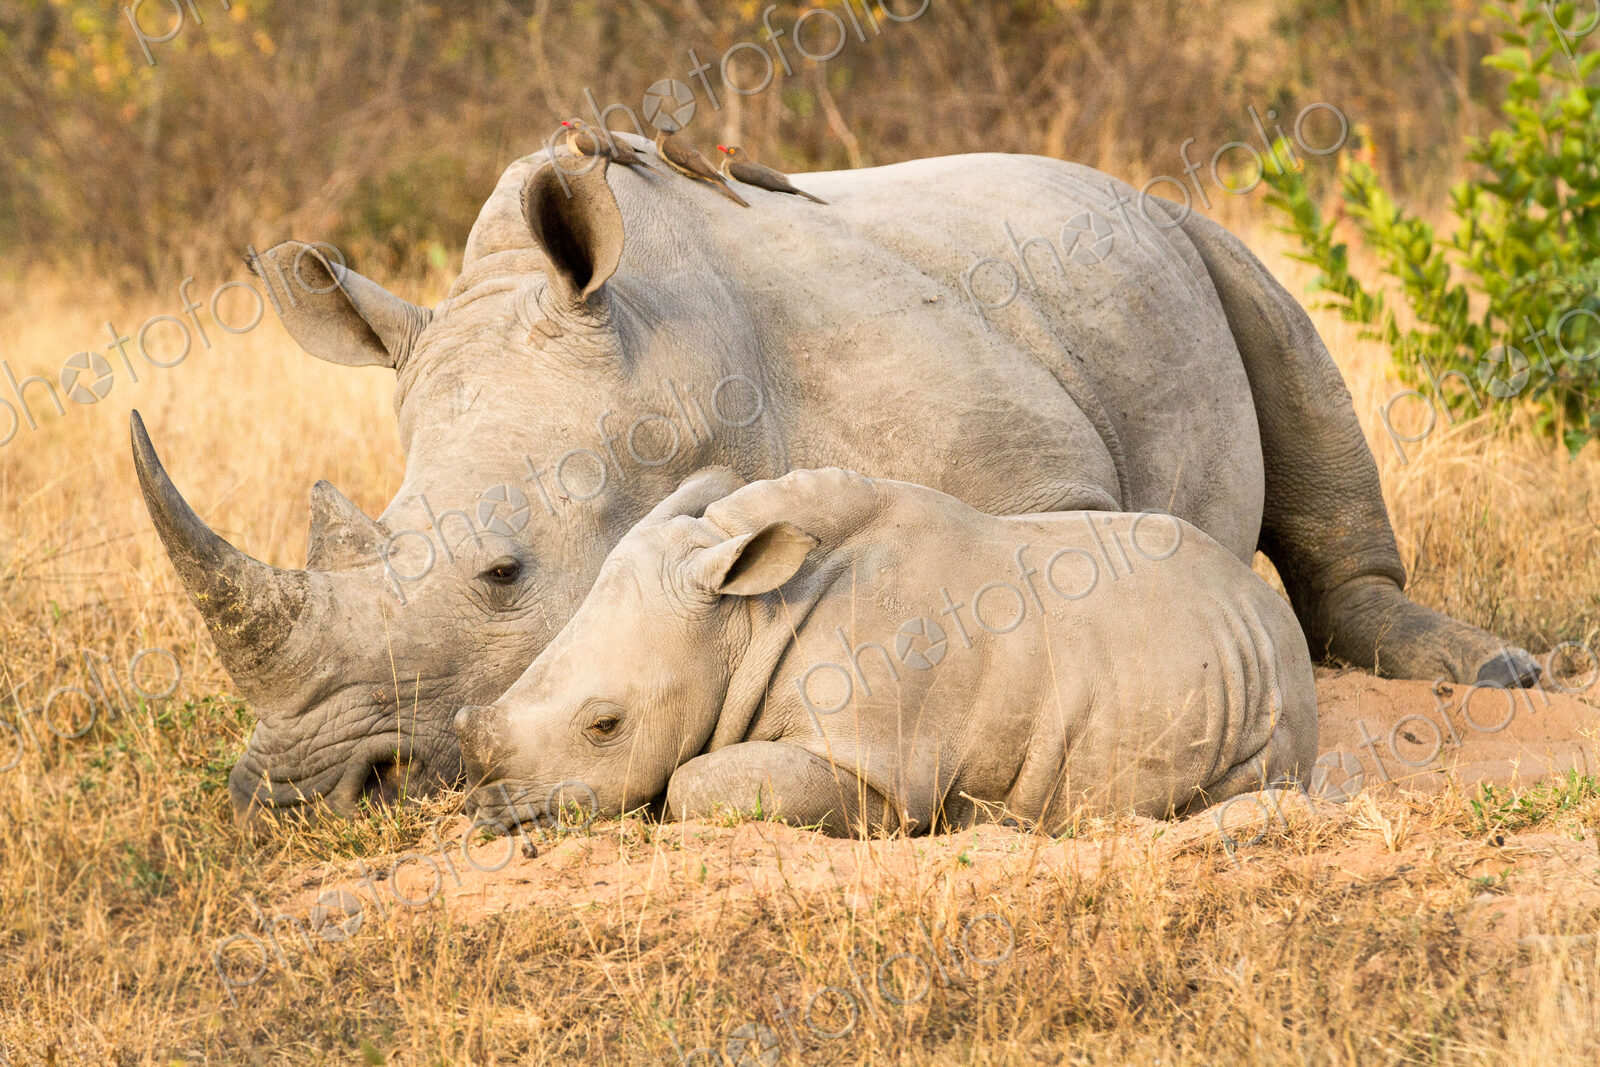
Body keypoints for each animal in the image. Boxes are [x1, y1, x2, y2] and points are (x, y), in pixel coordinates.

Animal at [455, 467, 1319, 835]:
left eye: (605, 725)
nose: (492, 816)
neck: (745, 617)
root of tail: (1266, 609)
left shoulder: (879, 759)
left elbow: (695, 782)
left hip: (1270, 692)